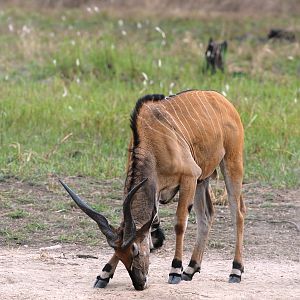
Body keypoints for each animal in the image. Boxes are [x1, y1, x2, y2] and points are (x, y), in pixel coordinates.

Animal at [59, 89, 245, 290]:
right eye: (120, 254)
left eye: (135, 250)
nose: (139, 283)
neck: (152, 145)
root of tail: (223, 100)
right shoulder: (160, 190)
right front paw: (104, 274)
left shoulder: (189, 176)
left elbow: (179, 224)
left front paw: (175, 270)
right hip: (203, 180)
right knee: (207, 216)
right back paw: (190, 269)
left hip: (231, 164)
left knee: (238, 214)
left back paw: (235, 271)